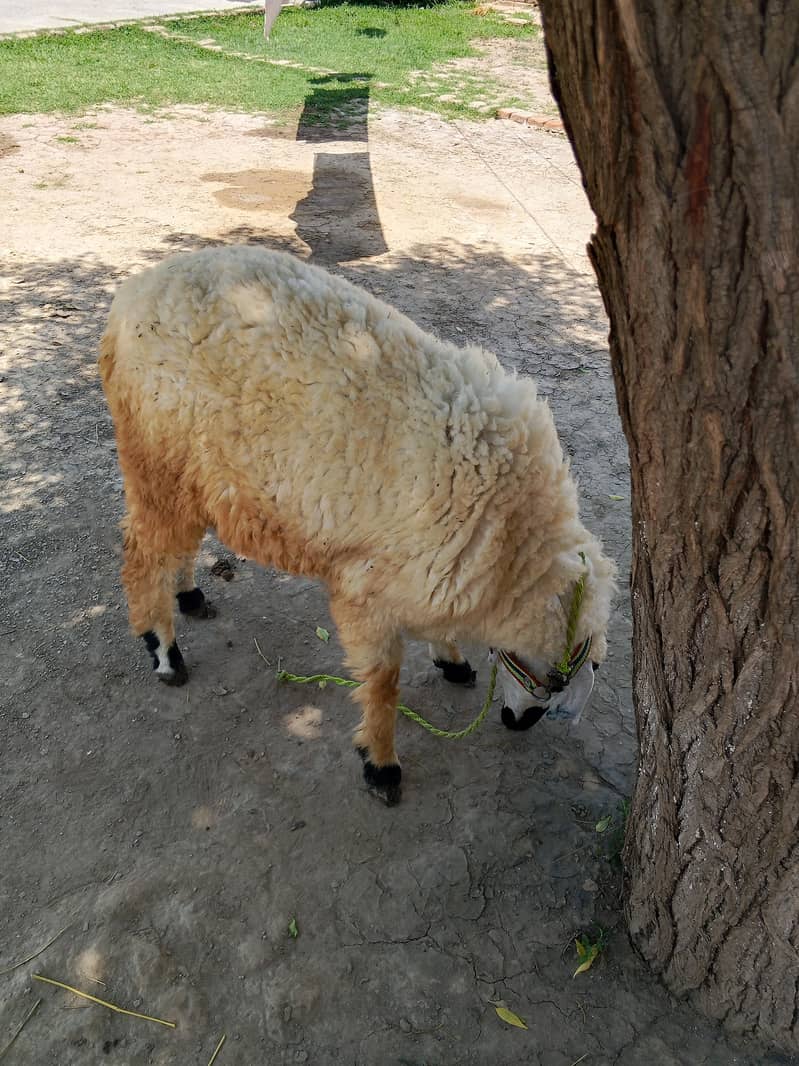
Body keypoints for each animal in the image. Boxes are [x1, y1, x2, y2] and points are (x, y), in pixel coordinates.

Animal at [98, 245, 615, 805]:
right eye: (565, 676)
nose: (517, 723)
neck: (514, 543)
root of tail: (129, 297)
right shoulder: (366, 588)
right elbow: (384, 681)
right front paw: (381, 764)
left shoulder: (428, 569)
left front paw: (451, 659)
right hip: (155, 457)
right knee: (143, 552)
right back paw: (163, 651)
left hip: (195, 473)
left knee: (178, 542)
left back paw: (188, 595)